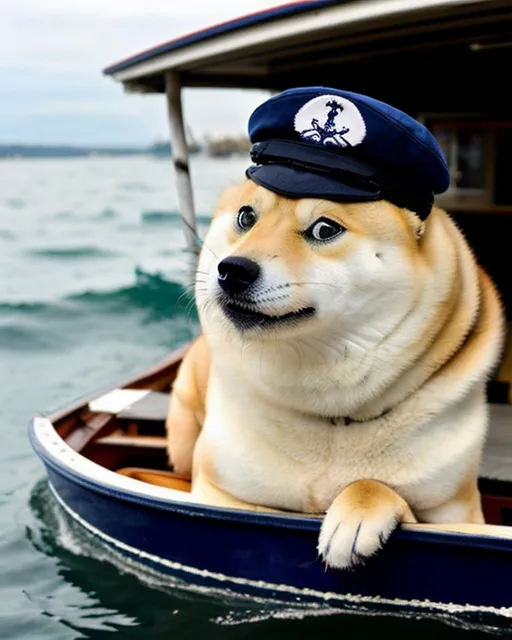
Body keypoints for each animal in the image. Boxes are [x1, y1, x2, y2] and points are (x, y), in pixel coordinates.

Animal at [165, 86, 504, 568]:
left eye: (325, 228)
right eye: (246, 218)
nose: (231, 270)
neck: (332, 414)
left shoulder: (460, 513)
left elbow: (381, 489)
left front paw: (358, 510)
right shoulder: (220, 494)